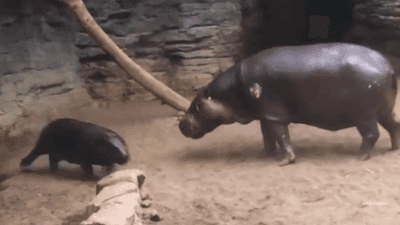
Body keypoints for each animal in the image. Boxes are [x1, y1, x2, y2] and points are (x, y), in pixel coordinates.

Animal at [179, 42, 400, 165]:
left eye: (196, 104)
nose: (180, 124)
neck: (230, 92)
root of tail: (389, 67)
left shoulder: (274, 115)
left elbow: (282, 136)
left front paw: (285, 161)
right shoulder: (265, 115)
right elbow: (267, 136)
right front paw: (265, 155)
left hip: (364, 116)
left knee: (372, 134)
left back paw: (360, 157)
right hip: (384, 111)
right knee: (394, 126)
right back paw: (393, 149)